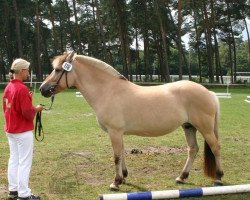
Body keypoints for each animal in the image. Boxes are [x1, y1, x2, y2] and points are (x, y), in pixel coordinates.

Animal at [39, 50, 225, 190]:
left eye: (58, 70)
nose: (42, 89)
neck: (108, 91)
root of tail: (208, 92)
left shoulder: (114, 131)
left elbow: (116, 156)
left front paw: (115, 183)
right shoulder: (118, 133)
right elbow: (122, 153)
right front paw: (124, 177)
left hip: (204, 127)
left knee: (215, 147)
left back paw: (218, 177)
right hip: (188, 126)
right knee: (193, 149)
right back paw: (181, 177)